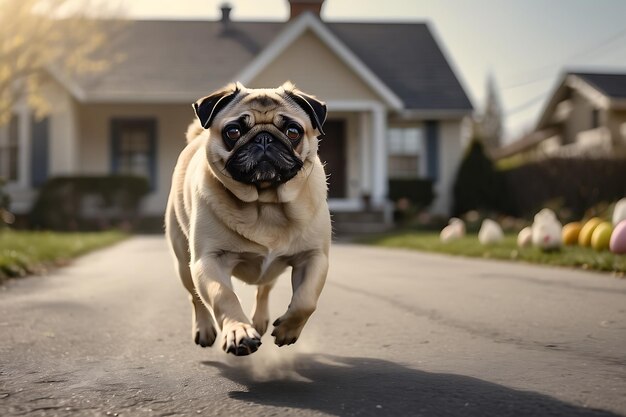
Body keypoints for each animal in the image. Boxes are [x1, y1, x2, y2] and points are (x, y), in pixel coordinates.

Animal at [166, 81, 332, 354]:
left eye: (293, 131)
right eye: (233, 132)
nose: (264, 138)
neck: (265, 203)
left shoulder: (314, 257)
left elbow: (306, 300)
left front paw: (287, 330)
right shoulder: (208, 260)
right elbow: (223, 296)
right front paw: (239, 332)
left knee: (264, 288)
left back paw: (260, 320)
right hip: (183, 261)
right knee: (195, 297)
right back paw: (205, 329)